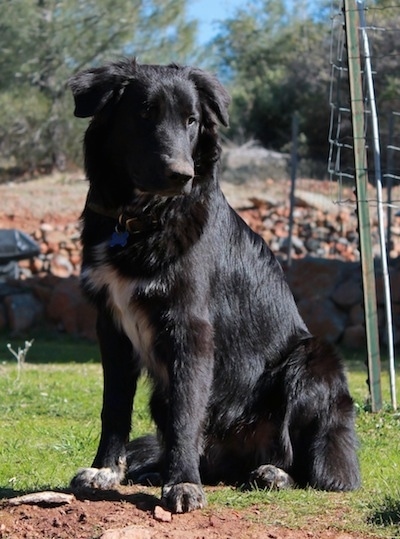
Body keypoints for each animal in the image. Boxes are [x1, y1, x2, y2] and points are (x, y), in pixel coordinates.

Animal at [68, 59, 360, 516]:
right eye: (144, 114)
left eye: (191, 121)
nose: (181, 175)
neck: (140, 221)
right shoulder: (111, 327)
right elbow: (113, 407)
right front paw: (105, 471)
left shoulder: (190, 328)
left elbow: (187, 414)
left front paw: (182, 484)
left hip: (314, 360)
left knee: (310, 466)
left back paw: (274, 474)